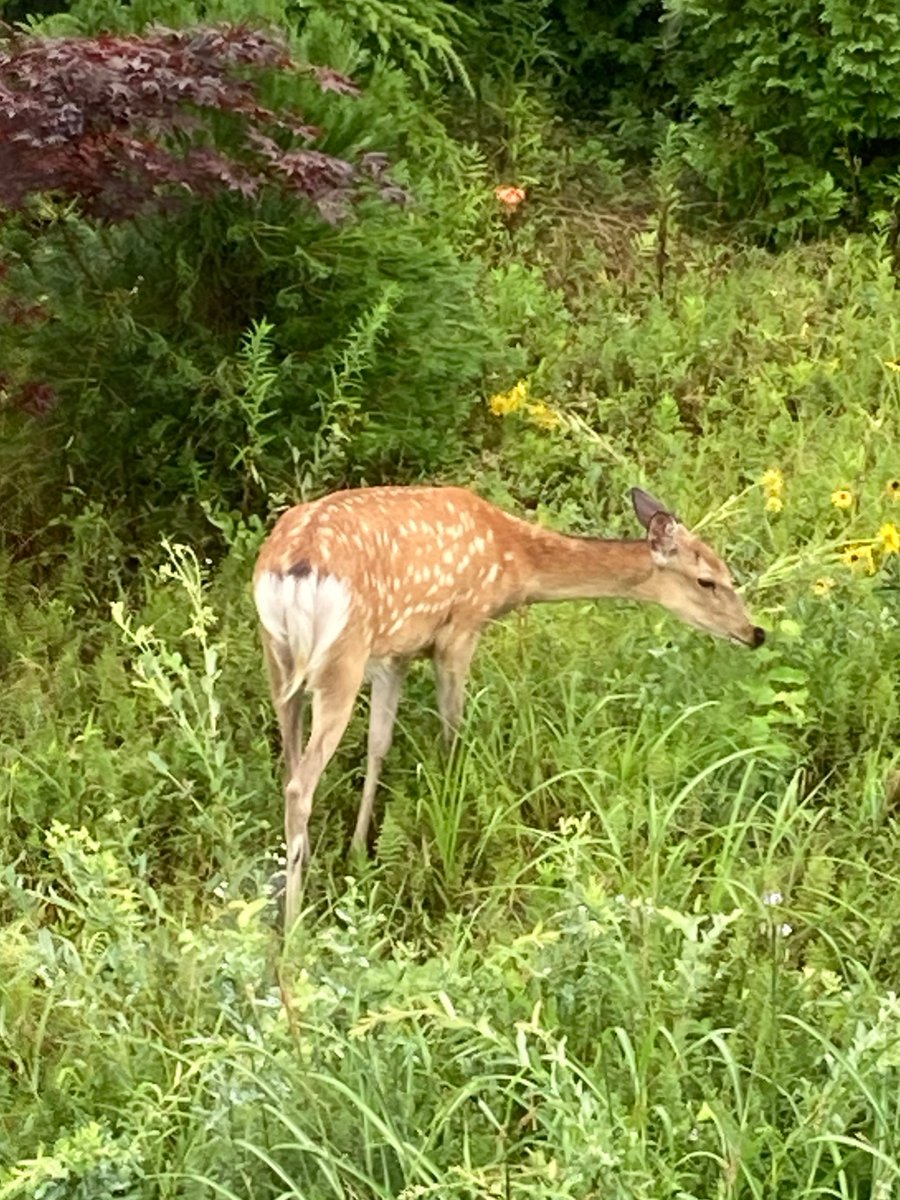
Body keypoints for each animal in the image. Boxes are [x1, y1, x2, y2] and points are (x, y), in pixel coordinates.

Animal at [253, 484, 765, 929]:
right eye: (707, 580)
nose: (755, 632)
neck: (513, 562)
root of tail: (293, 570)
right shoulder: (460, 629)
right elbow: (452, 735)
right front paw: (449, 825)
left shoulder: (395, 651)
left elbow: (378, 745)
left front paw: (360, 852)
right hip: (341, 657)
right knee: (300, 785)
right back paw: (294, 924)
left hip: (281, 660)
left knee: (290, 765)